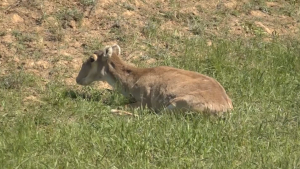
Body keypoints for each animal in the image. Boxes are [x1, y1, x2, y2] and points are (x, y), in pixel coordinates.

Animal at [75, 45, 232, 116]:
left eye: (91, 59)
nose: (78, 79)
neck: (135, 77)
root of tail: (226, 106)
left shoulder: (144, 101)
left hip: (175, 104)